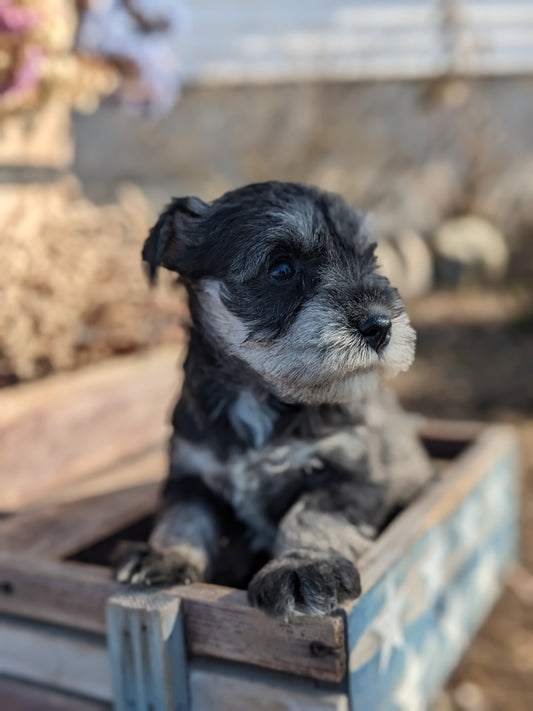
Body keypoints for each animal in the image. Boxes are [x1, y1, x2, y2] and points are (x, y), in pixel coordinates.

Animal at [114, 182, 430, 616]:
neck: (258, 394)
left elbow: (311, 514)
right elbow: (184, 515)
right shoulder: (189, 472)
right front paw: (164, 557)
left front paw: (302, 567)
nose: (380, 326)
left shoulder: (355, 472)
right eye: (281, 269)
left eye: (370, 257)